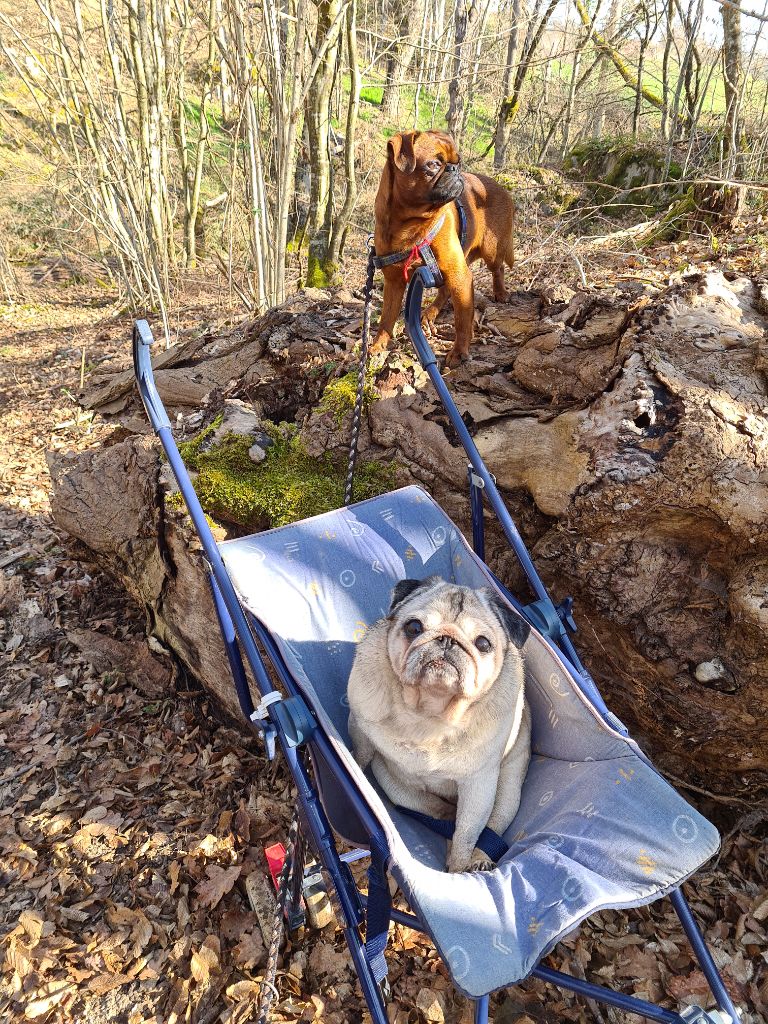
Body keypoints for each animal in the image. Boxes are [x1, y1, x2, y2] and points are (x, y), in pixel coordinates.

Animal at [372, 130, 518, 366]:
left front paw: (459, 351)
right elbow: (387, 317)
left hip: (491, 250)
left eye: (457, 162)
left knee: (498, 268)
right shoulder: (393, 282)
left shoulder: (460, 275)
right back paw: (430, 312)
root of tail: (501, 188)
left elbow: (462, 318)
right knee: (444, 290)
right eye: (433, 164)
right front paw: (378, 345)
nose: (455, 169)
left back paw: (500, 292)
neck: (409, 226)